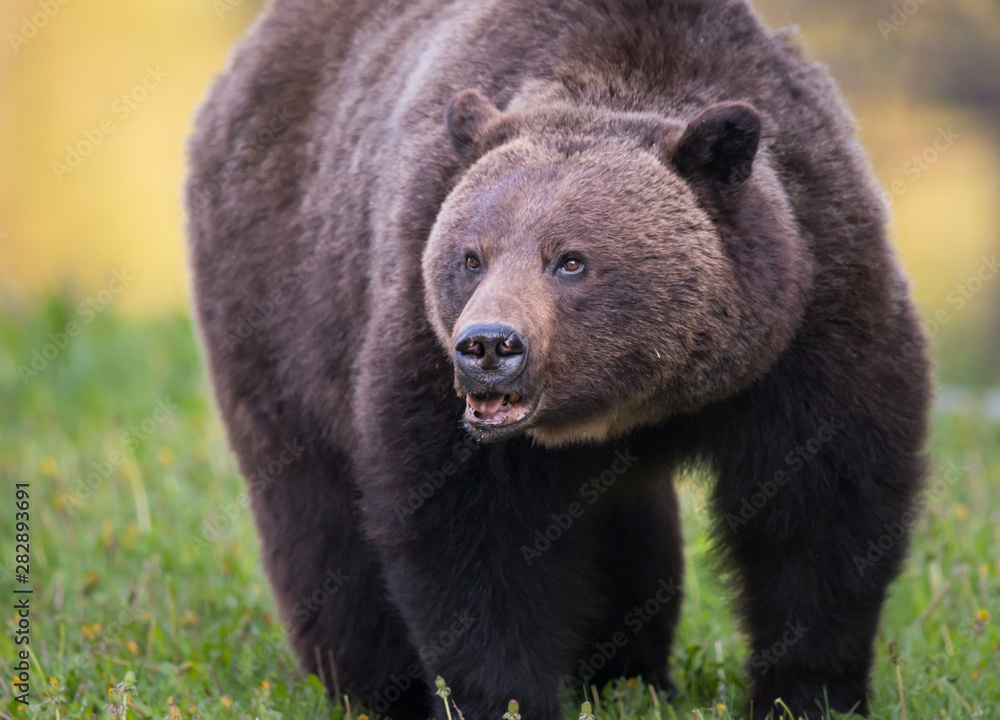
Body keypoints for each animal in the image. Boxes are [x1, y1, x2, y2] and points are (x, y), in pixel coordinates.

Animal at [185, 1, 931, 719]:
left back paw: (631, 676)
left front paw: (812, 694)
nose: (488, 346)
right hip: (284, 301)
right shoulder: (424, 351)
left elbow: (822, 511)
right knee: (316, 513)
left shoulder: (812, 321)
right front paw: (504, 699)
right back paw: (372, 689)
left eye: (570, 259)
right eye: (472, 256)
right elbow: (473, 543)